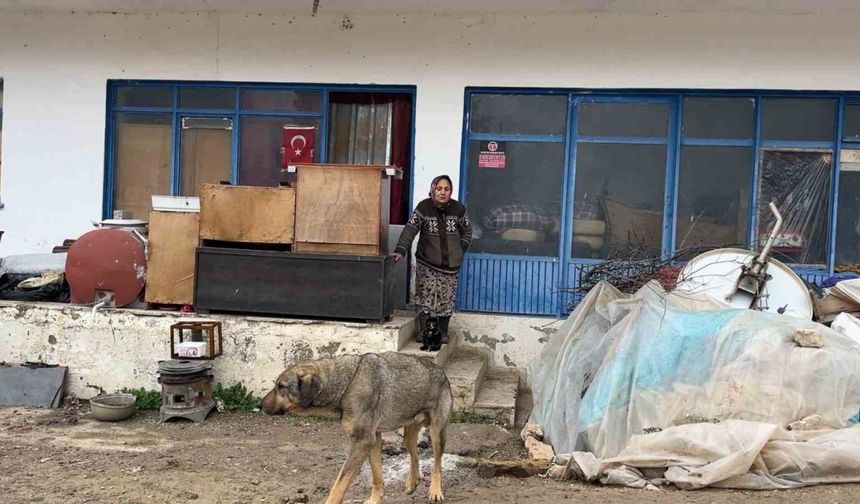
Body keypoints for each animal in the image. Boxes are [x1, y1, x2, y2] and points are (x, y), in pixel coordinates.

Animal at [260, 352, 450, 502]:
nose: (260, 405)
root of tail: (441, 371)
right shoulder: (373, 440)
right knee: (415, 455)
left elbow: (339, 484)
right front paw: (375, 499)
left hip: (437, 433)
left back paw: (435, 491)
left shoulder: (362, 442)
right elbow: (376, 476)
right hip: (409, 436)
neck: (346, 385)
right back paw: (412, 481)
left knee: (437, 464)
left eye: (281, 386)